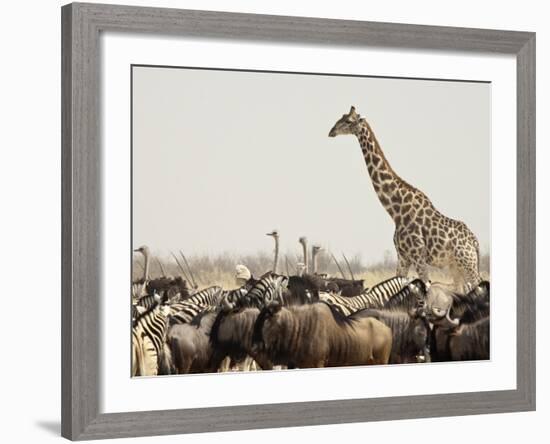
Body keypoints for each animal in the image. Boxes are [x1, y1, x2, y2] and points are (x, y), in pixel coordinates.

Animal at [332, 105, 484, 290]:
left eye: (348, 121)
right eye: (341, 117)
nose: (331, 131)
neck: (396, 211)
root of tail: (475, 242)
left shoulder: (418, 256)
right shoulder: (403, 257)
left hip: (468, 264)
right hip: (456, 268)